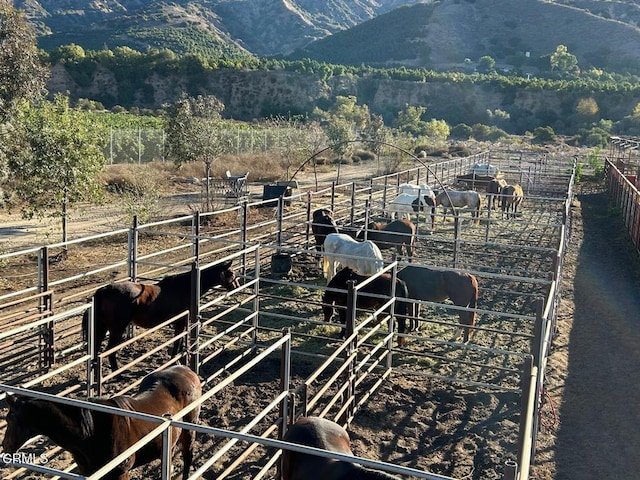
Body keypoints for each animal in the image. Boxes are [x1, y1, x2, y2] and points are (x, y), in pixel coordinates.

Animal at [1, 364, 201, 480]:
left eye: (9, 418)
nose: (5, 446)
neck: (91, 433)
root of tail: (187, 370)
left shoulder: (121, 473)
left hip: (189, 429)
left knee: (188, 454)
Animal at [81, 260, 239, 370]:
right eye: (231, 273)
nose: (236, 286)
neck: (186, 287)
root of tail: (103, 291)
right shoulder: (180, 323)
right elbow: (177, 342)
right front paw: (175, 361)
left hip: (102, 328)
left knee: (96, 349)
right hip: (117, 329)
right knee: (109, 352)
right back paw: (118, 372)